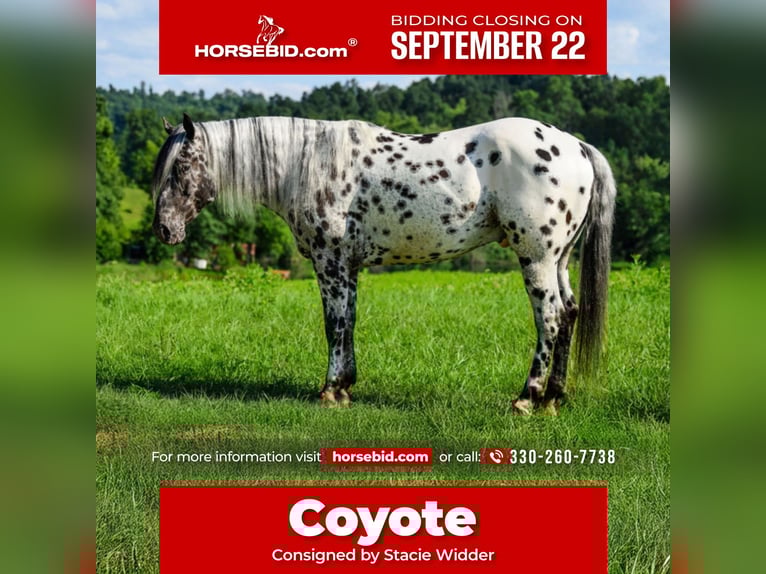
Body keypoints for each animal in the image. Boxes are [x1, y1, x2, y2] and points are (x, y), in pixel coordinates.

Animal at [153, 114, 616, 415]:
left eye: (180, 167)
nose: (163, 229)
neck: (308, 161)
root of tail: (576, 146)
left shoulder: (331, 261)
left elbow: (334, 324)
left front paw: (331, 390)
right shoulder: (349, 266)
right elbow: (349, 323)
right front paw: (346, 386)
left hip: (536, 258)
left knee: (550, 319)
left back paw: (527, 398)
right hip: (559, 259)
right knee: (569, 313)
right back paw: (553, 398)